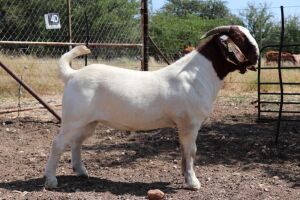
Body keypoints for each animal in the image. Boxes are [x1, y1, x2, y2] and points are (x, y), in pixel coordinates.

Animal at [45, 25, 260, 191]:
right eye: (239, 38)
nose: (257, 56)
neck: (197, 74)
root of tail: (72, 75)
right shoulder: (189, 123)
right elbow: (191, 151)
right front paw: (193, 182)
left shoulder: (183, 125)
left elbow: (183, 150)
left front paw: (185, 176)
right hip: (73, 119)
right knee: (58, 143)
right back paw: (51, 180)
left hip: (88, 122)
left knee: (77, 142)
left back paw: (81, 171)